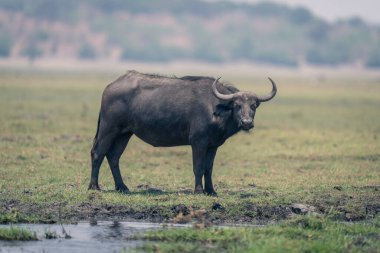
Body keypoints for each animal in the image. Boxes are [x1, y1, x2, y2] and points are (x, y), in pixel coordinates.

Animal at [88, 71, 276, 196]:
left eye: (254, 105)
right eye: (237, 105)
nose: (247, 122)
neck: (215, 107)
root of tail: (110, 86)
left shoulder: (213, 145)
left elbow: (209, 168)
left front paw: (211, 191)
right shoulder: (198, 143)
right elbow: (198, 167)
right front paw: (199, 190)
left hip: (124, 133)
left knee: (113, 156)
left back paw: (122, 187)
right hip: (108, 129)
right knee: (97, 153)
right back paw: (94, 187)